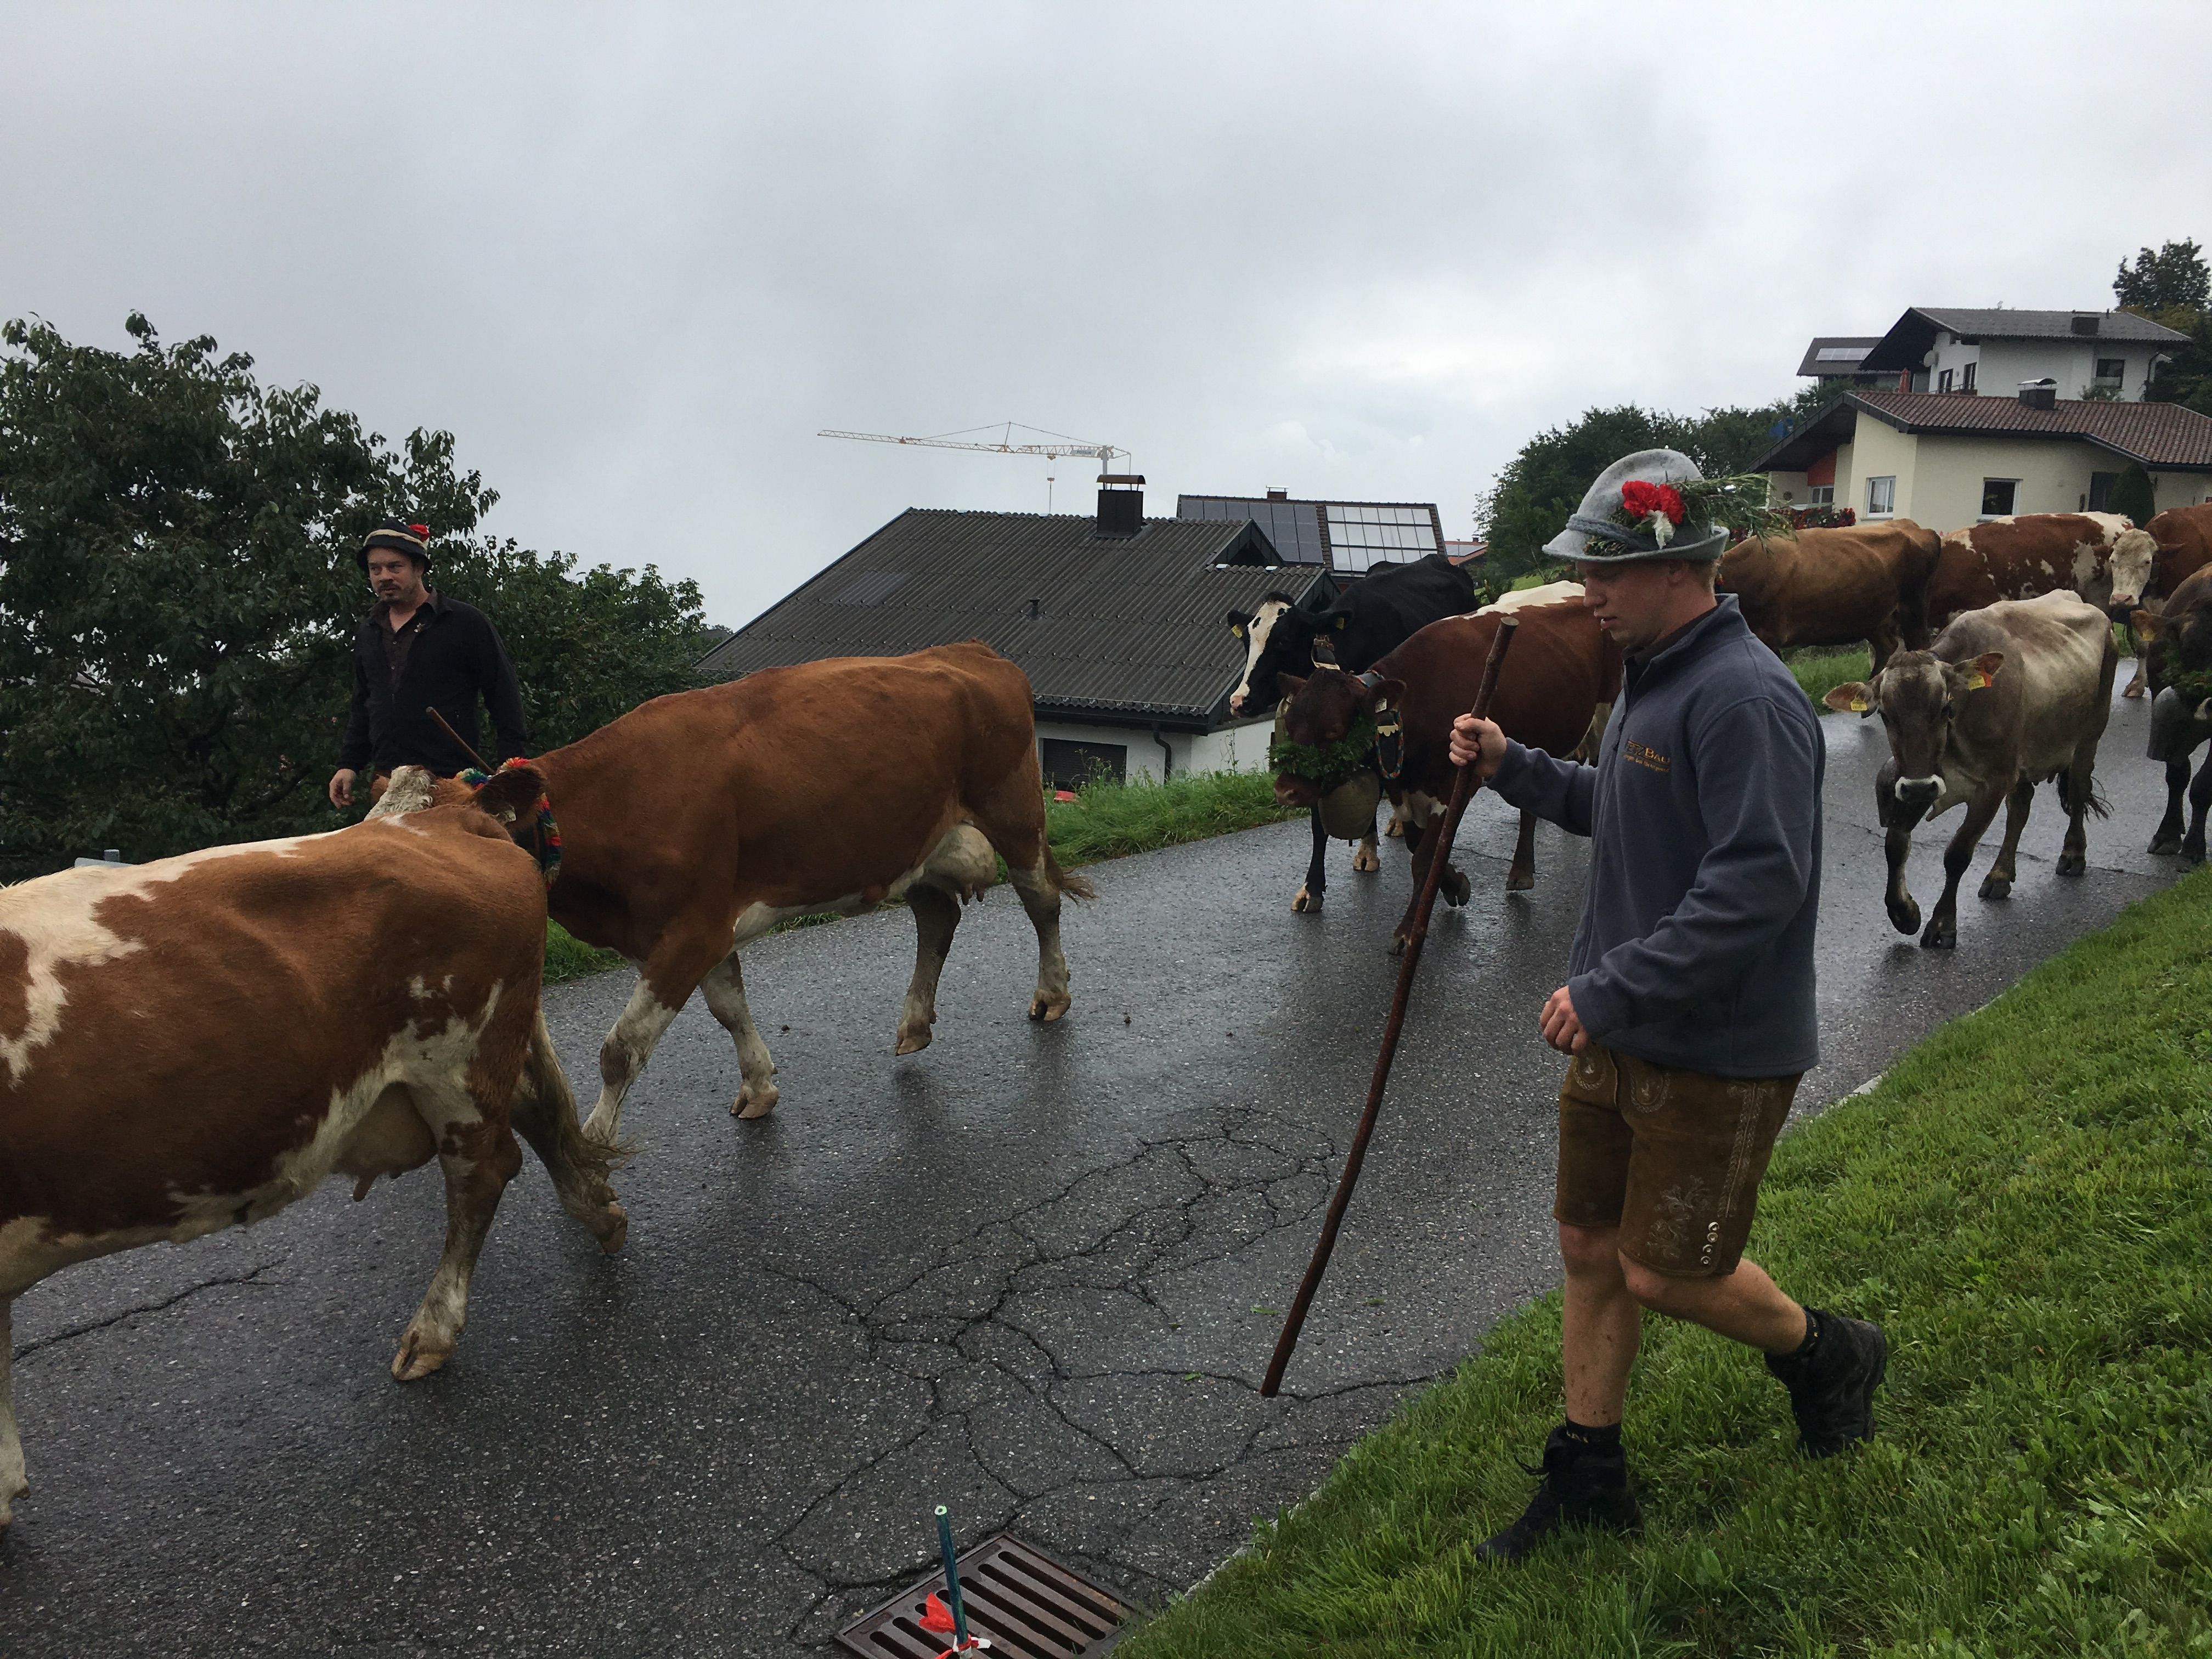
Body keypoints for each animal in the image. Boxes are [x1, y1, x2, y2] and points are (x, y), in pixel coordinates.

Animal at [0, 764, 624, 1532]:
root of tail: (448, 815)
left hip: (455, 1059)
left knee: (485, 1169)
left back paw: (433, 1331)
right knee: (537, 1113)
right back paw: (598, 1212)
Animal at [482, 642, 1093, 1142]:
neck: (617, 798)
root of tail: (974, 651)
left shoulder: (691, 931)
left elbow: (622, 1048)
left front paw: (592, 1148)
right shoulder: (691, 931)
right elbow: (729, 1009)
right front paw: (758, 1086)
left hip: (1015, 813)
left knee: (1041, 902)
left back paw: (1052, 993)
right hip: (909, 843)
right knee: (939, 917)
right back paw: (916, 1024)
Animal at [1274, 597, 1621, 953]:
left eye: (1333, 730)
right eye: (1291, 725)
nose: (1285, 791)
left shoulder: (1456, 783)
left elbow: (1425, 857)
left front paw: (1407, 931)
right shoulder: (1407, 791)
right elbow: (1417, 845)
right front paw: (1456, 885)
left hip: (1605, 712)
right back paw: (1522, 870)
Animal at [1716, 520, 1942, 673]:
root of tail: (1914, 526)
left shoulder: (1768, 635)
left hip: (1914, 608)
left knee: (1920, 646)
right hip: (1872, 618)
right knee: (1888, 646)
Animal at [1823, 591, 2117, 950]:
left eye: (1945, 708)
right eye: (1885, 715)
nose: (1919, 789)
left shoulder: (1991, 783)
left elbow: (1957, 854)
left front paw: (1942, 924)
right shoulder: (1922, 781)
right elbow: (1895, 844)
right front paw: (1903, 912)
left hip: (2088, 737)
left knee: (2076, 793)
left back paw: (2073, 854)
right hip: (2021, 759)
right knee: (2020, 808)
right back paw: (2000, 874)